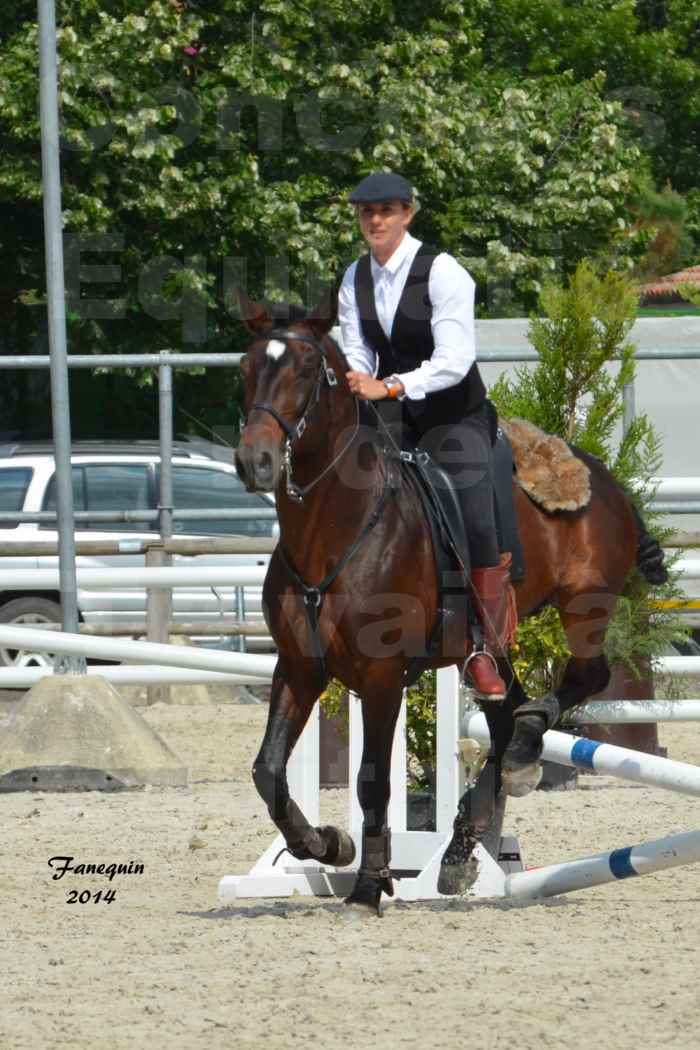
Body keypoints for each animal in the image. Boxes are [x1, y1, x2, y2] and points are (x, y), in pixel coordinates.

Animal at [235, 294, 667, 911]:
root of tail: (600, 474)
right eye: (246, 369)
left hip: (585, 602)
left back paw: (525, 750)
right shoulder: (298, 668)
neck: (333, 532)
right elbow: (268, 770)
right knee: (506, 712)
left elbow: (372, 780)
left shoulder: (381, 676)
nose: (256, 461)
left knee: (582, 678)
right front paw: (327, 845)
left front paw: (368, 886)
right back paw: (466, 841)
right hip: (486, 647)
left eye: (304, 370)